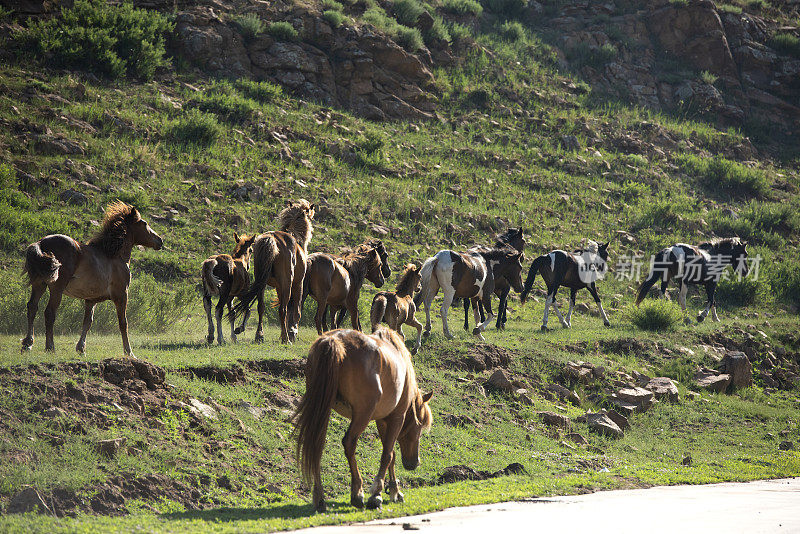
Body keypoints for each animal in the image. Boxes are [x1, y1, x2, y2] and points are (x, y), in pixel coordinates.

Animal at [21, 203, 163, 358]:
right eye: (144, 223)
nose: (160, 240)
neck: (114, 256)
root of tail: (41, 242)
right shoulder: (121, 295)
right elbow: (123, 323)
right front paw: (129, 352)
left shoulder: (91, 299)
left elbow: (88, 322)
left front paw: (81, 348)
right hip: (56, 288)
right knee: (49, 312)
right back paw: (50, 347)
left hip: (39, 284)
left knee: (32, 307)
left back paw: (28, 344)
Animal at [230, 199, 314, 346]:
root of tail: (271, 240)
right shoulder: (298, 283)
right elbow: (296, 310)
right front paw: (292, 331)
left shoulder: (278, 287)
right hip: (287, 284)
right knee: (283, 309)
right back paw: (286, 338)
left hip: (262, 283)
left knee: (261, 307)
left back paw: (259, 335)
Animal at [292, 330, 432, 516]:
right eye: (420, 428)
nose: (414, 463)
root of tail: (334, 340)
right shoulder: (397, 417)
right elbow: (387, 455)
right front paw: (377, 494)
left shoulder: (382, 420)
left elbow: (391, 454)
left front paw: (394, 491)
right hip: (362, 415)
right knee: (349, 443)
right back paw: (357, 494)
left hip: (323, 409)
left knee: (317, 445)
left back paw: (320, 497)